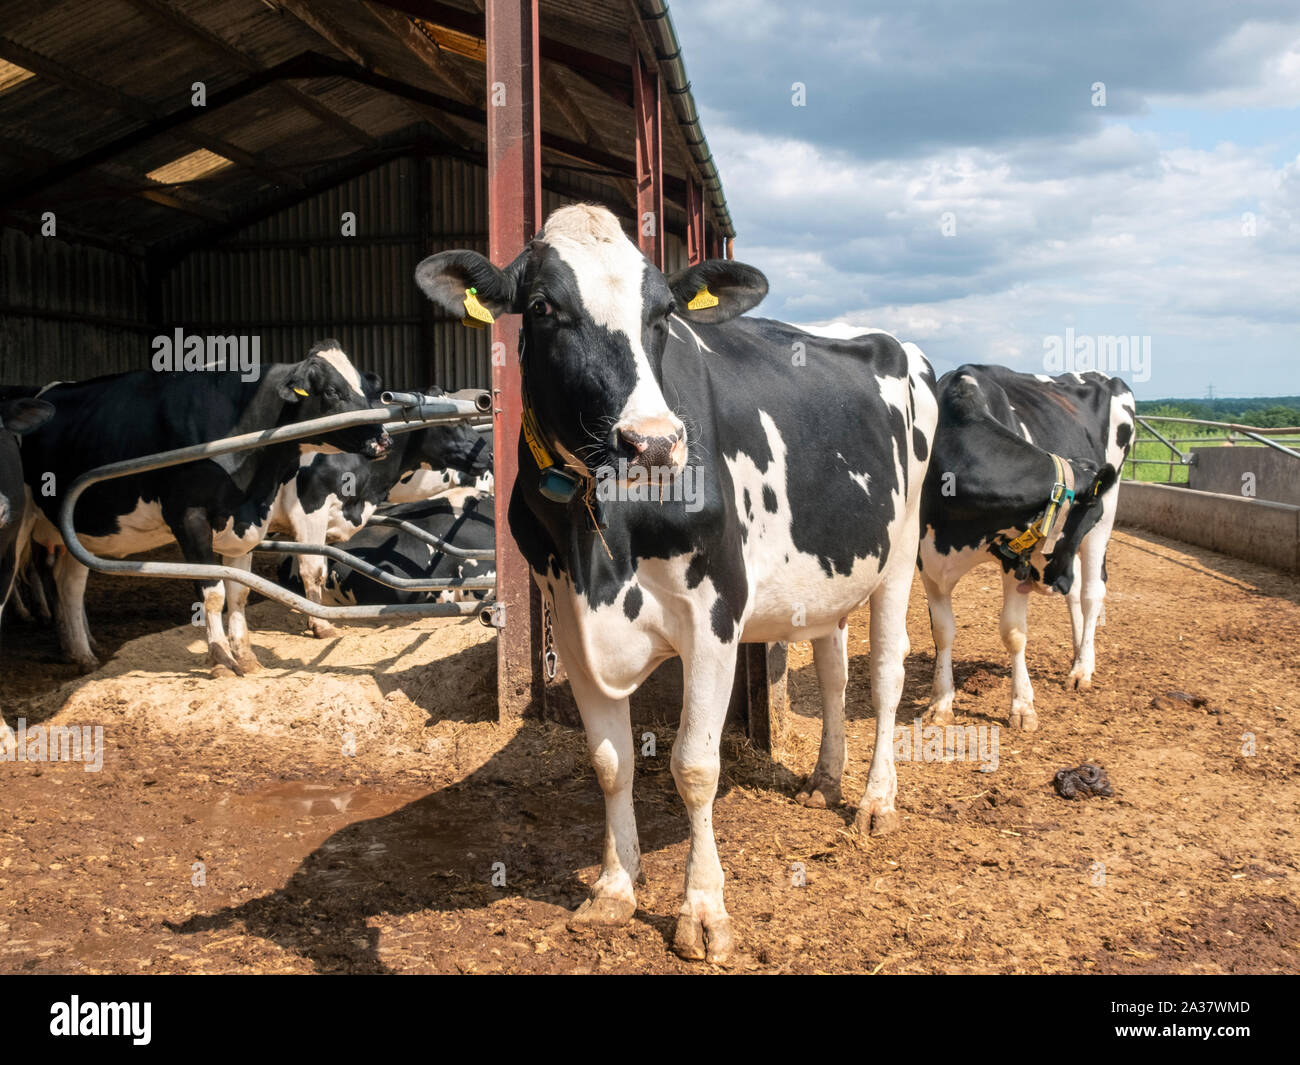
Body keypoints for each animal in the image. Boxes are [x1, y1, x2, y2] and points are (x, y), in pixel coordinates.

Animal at [20, 340, 387, 676]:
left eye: (364, 388)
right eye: (332, 391)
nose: (383, 439)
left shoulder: (248, 522)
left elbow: (238, 592)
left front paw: (247, 658)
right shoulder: (189, 518)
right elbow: (213, 594)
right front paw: (222, 659)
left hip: (75, 528)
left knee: (69, 582)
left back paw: (81, 653)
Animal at [416, 204, 935, 962]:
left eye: (662, 312)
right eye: (542, 307)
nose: (655, 442)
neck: (601, 533)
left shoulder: (713, 617)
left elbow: (694, 765)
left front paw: (703, 910)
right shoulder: (569, 622)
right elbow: (610, 761)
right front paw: (614, 886)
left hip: (901, 549)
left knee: (888, 673)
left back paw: (874, 801)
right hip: (829, 575)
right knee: (836, 672)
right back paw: (824, 780)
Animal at [915, 366, 1138, 733]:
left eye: (1091, 518)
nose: (1058, 582)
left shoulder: (1015, 561)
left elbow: (1013, 633)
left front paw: (1022, 706)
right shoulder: (928, 559)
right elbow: (942, 631)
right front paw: (941, 702)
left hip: (1112, 504)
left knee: (1091, 592)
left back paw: (1082, 668)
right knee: (1077, 594)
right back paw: (1077, 648)